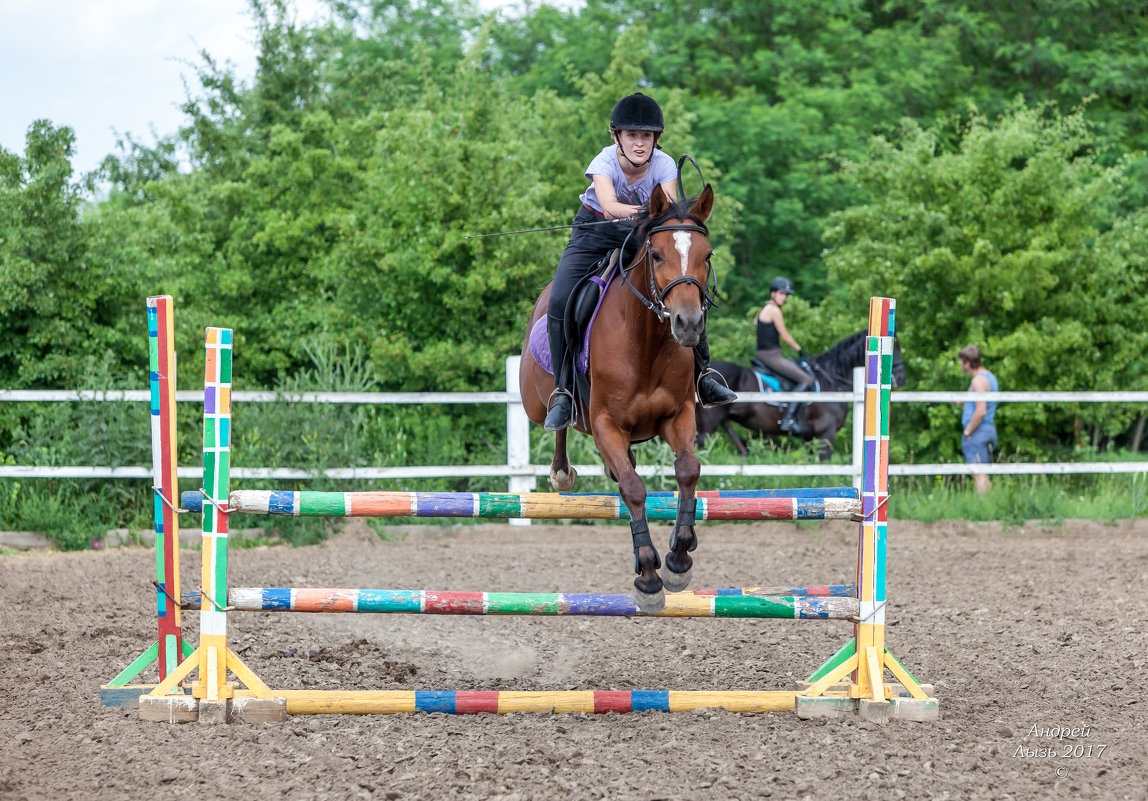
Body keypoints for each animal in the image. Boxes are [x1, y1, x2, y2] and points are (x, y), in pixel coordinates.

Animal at [518, 183, 711, 610]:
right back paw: (562, 468)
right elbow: (634, 488)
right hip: (535, 399)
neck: (647, 341)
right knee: (560, 421)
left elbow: (688, 470)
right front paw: (650, 576)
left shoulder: (678, 415)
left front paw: (679, 557)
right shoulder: (608, 423)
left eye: (707, 256)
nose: (689, 324)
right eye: (656, 255)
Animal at [688, 328, 904, 459]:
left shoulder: (810, 437)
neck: (831, 379)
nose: (902, 378)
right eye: (893, 349)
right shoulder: (826, 434)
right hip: (707, 428)